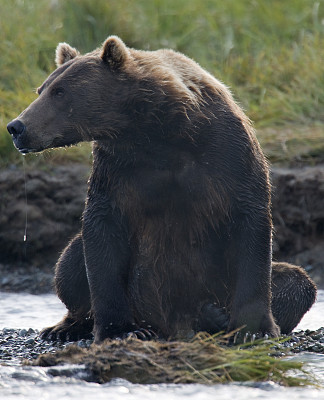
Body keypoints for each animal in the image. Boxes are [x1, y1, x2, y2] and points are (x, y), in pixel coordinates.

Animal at [6, 36, 316, 342]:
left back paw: (215, 314)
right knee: (70, 262)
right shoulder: (117, 169)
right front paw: (120, 329)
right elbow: (102, 233)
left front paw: (254, 329)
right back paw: (65, 327)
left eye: (60, 92)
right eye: (41, 89)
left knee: (297, 282)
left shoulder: (228, 155)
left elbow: (251, 224)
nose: (16, 126)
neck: (158, 131)